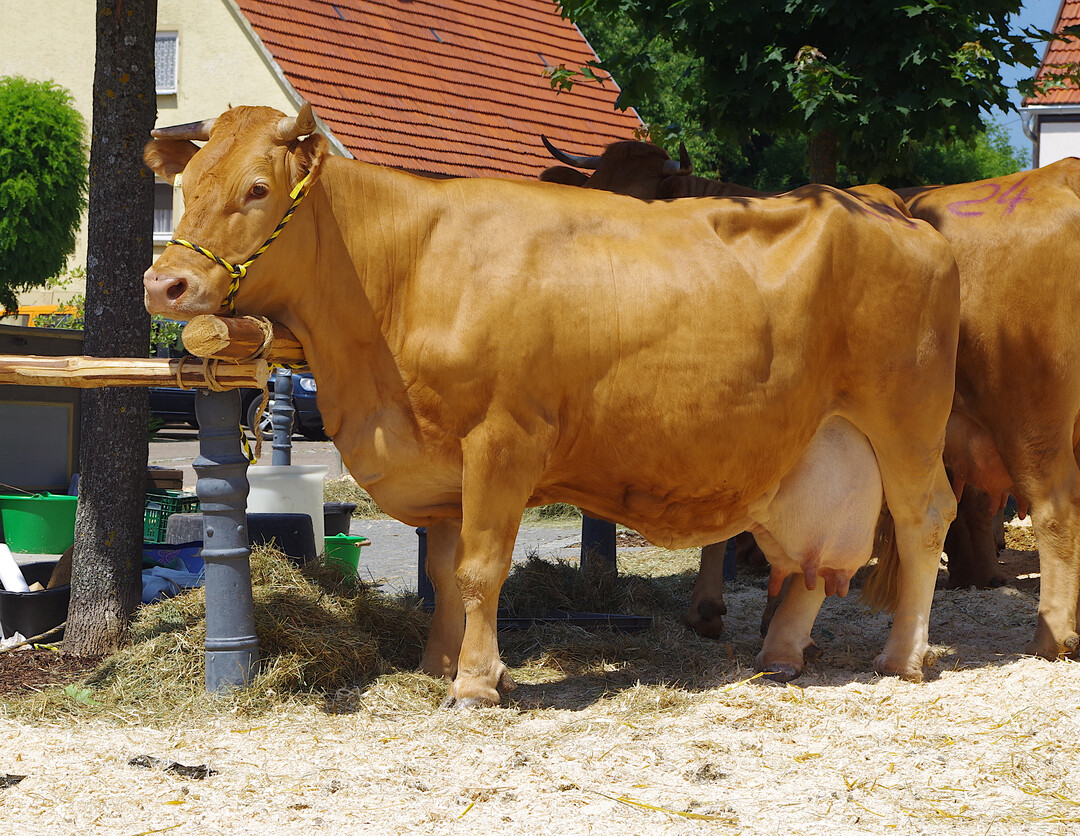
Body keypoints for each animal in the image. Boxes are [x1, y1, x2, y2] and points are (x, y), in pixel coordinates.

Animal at [143, 104, 958, 706]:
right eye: (187, 186)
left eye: (258, 188)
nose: (165, 284)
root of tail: (891, 211)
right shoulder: (439, 454)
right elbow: (443, 570)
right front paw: (437, 665)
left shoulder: (502, 438)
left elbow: (480, 569)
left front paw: (475, 684)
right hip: (821, 445)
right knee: (820, 556)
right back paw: (784, 652)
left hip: (908, 420)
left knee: (923, 519)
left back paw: (905, 656)